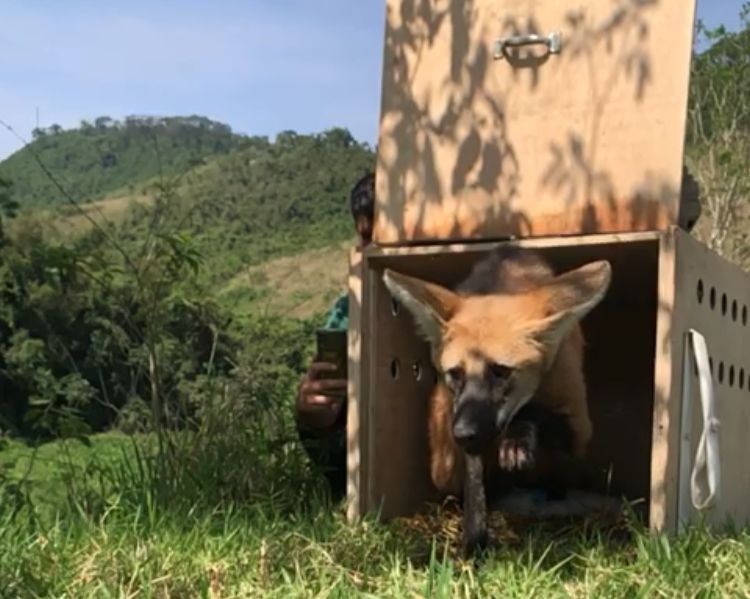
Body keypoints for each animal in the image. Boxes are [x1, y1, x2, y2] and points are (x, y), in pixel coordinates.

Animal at [382, 246, 612, 556]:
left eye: (500, 371)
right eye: (455, 373)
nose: (464, 433)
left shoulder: (578, 425)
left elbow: (535, 412)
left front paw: (516, 440)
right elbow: (475, 487)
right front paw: (475, 542)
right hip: (442, 460)